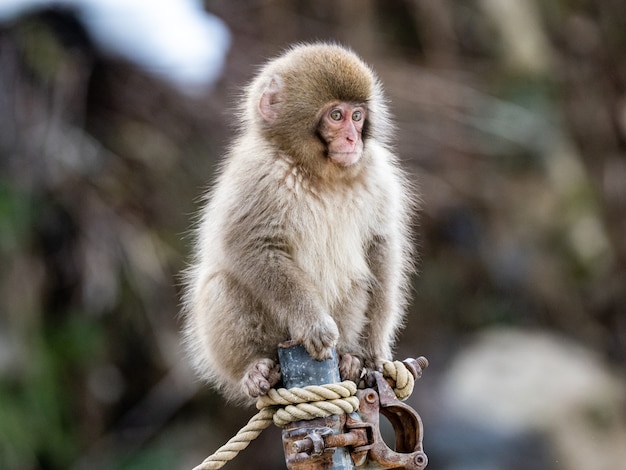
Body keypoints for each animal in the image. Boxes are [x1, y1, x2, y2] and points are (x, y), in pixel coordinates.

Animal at [180, 43, 414, 404]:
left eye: (357, 116)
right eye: (336, 116)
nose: (352, 139)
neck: (320, 172)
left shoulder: (378, 173)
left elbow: (380, 247)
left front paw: (373, 350)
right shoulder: (259, 172)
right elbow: (252, 246)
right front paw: (313, 323)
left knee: (359, 282)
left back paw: (348, 357)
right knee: (221, 285)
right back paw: (254, 370)